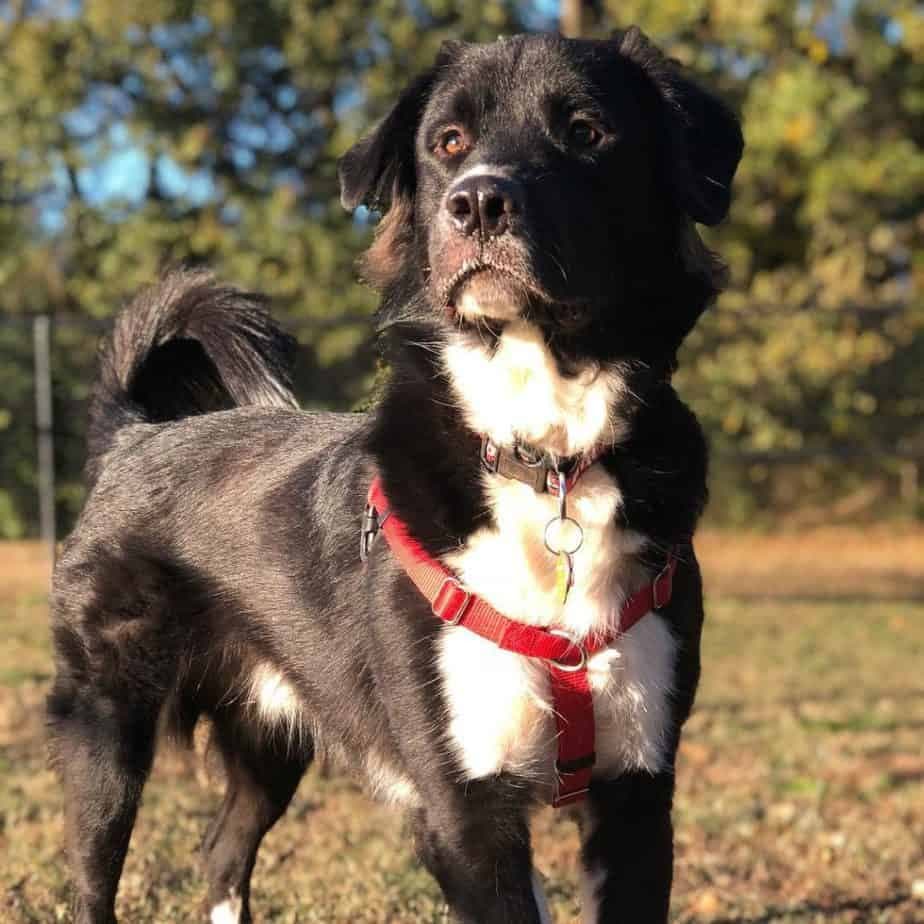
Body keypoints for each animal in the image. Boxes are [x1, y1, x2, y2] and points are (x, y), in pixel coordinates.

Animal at [48, 28, 744, 924]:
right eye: (447, 143)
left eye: (587, 132)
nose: (478, 202)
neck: (543, 457)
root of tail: (134, 436)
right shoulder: (463, 808)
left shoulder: (635, 795)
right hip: (106, 723)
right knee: (95, 876)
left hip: (270, 733)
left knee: (222, 851)